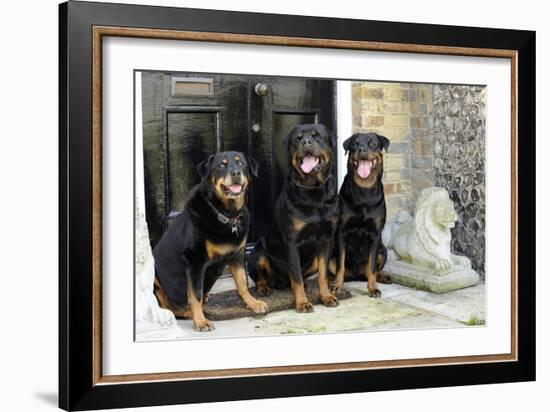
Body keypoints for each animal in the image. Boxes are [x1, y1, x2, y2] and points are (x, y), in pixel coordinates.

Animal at [153, 151, 270, 332]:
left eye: (241, 163)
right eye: (222, 165)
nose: (236, 173)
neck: (227, 214)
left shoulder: (237, 255)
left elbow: (242, 283)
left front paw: (253, 303)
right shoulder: (195, 261)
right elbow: (195, 294)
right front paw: (200, 321)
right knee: (166, 304)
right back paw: (186, 312)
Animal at [249, 122, 340, 312]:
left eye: (317, 136)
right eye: (297, 139)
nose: (306, 142)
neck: (314, 190)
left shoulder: (327, 239)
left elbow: (322, 275)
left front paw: (326, 296)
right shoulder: (292, 241)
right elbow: (296, 276)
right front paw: (302, 302)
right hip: (256, 253)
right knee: (262, 276)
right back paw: (264, 288)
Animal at [332, 134, 392, 298]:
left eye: (372, 144)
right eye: (354, 145)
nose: (362, 149)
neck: (364, 190)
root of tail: (356, 275)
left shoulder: (375, 234)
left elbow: (371, 267)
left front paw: (373, 288)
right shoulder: (342, 231)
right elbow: (340, 265)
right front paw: (337, 286)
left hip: (383, 251)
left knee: (371, 271)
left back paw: (383, 277)